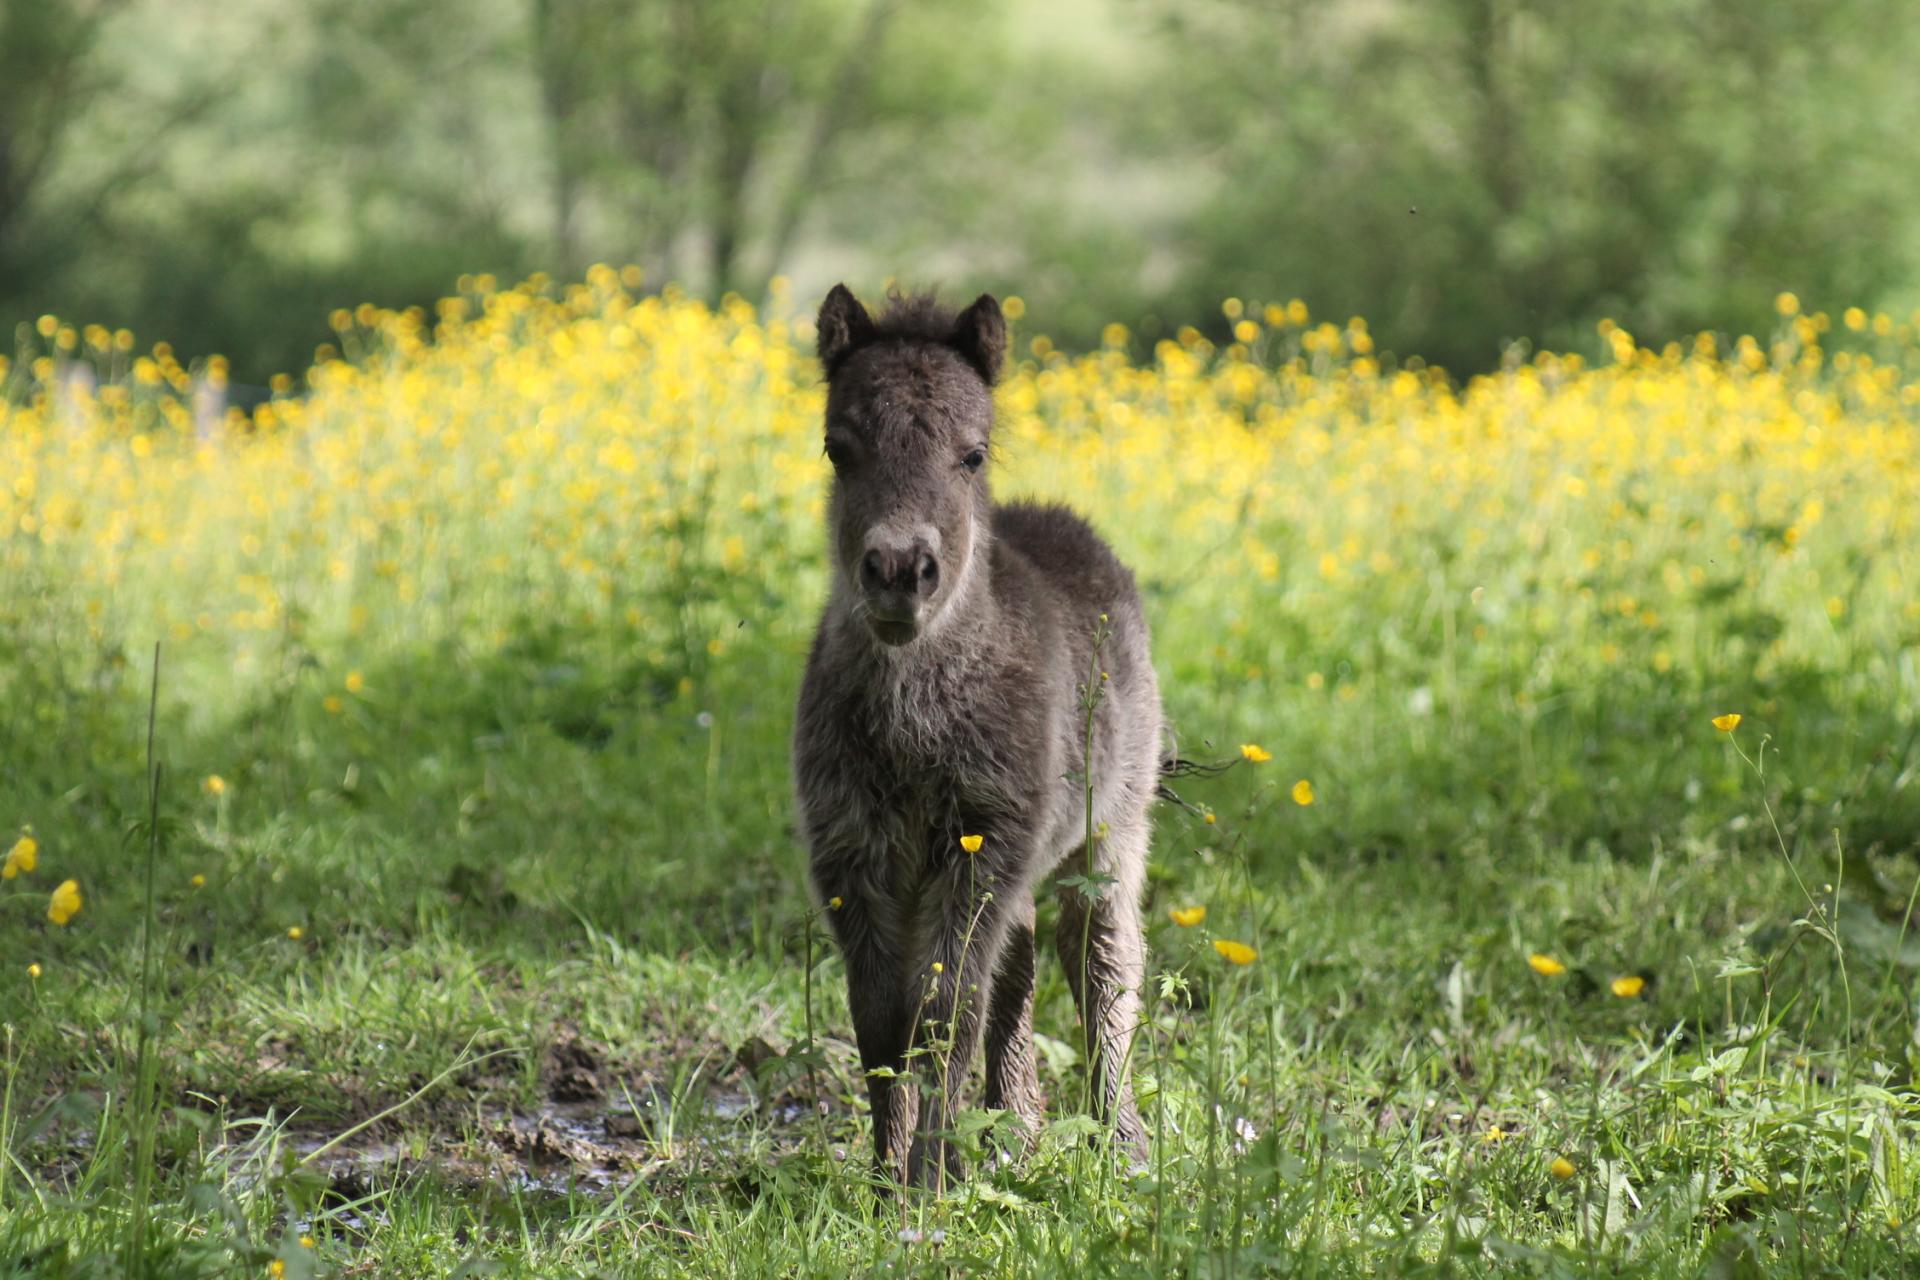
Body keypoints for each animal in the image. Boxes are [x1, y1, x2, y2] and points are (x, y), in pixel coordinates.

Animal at [791, 285, 1159, 1189]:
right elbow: (881, 1015)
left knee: (1100, 962)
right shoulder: (854, 849)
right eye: (837, 447)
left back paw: (1121, 1144)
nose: (898, 572)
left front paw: (925, 1183)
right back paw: (1016, 1131)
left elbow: (946, 1008)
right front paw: (887, 1178)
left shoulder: (985, 843)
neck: (913, 730)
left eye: (974, 453)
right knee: (1021, 966)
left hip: (1110, 829)